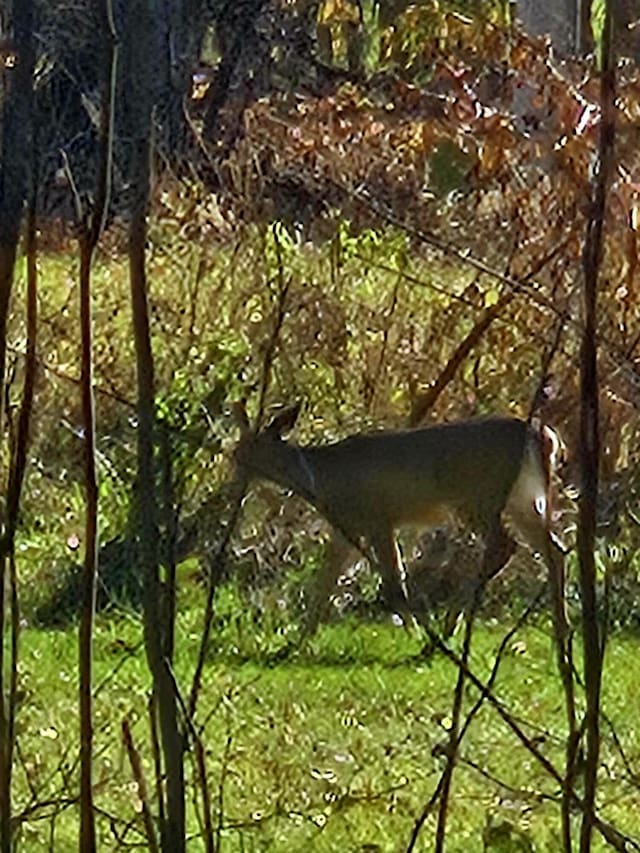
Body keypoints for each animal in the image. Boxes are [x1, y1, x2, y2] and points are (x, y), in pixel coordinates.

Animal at [235, 408, 564, 640]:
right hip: (522, 500)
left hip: (479, 496)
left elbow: (393, 584)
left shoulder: (379, 518)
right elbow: (325, 581)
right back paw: (562, 630)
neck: (320, 479)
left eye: (246, 449)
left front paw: (414, 632)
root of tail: (542, 436)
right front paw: (297, 641)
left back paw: (446, 628)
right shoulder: (346, 528)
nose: (233, 463)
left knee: (504, 546)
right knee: (554, 549)